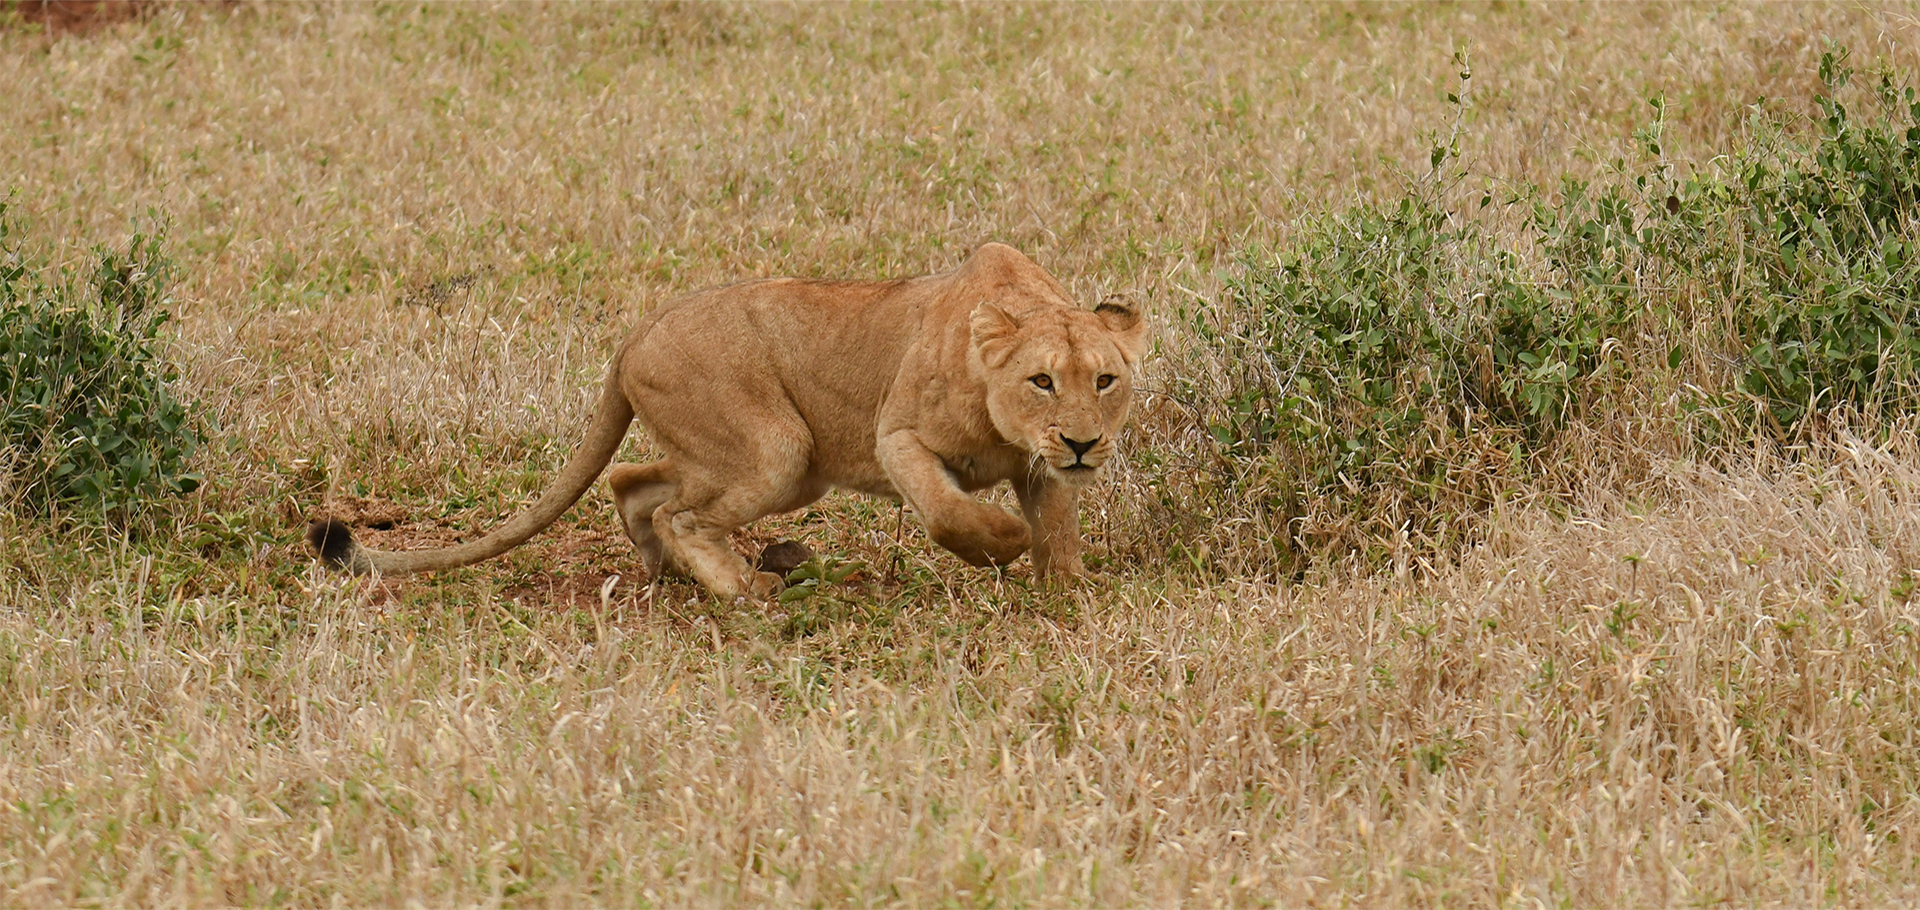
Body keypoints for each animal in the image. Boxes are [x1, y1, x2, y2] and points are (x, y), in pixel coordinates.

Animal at [307, 242, 1147, 600]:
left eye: (1105, 380)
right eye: (1041, 381)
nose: (1084, 441)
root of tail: (636, 333)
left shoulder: (1044, 469)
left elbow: (1060, 531)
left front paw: (1066, 598)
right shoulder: (897, 435)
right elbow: (948, 510)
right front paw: (1000, 546)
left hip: (766, 463)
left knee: (634, 482)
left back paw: (664, 570)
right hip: (780, 450)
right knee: (679, 511)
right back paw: (740, 588)